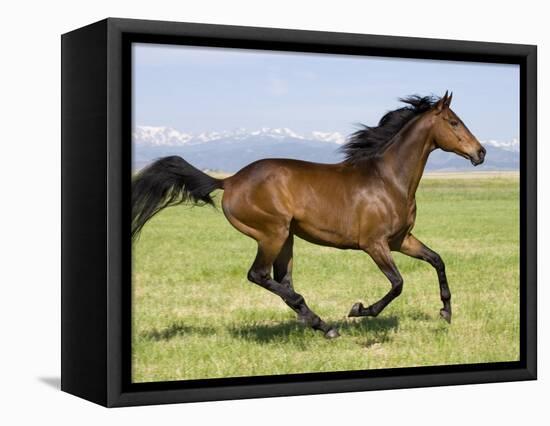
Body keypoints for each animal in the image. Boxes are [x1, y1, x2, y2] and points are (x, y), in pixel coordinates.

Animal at [134, 91, 488, 338]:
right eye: (454, 122)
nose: (481, 152)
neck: (388, 179)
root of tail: (230, 180)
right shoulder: (374, 244)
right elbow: (398, 283)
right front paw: (359, 309)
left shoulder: (401, 240)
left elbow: (437, 260)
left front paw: (446, 312)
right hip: (272, 234)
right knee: (259, 275)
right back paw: (324, 323)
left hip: (287, 238)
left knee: (282, 280)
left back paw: (316, 322)